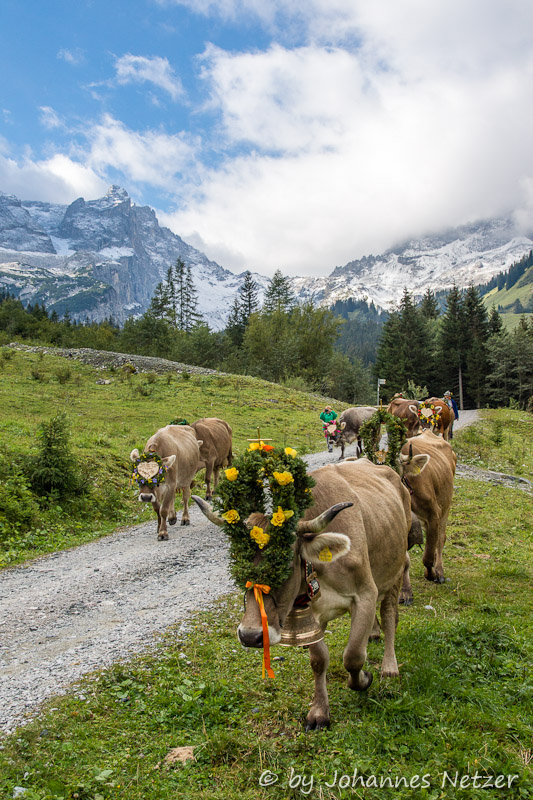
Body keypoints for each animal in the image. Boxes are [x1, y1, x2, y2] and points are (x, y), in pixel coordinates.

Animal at [193, 456, 422, 732]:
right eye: (238, 560)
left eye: (284, 564)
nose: (250, 636)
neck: (318, 570)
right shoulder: (311, 616)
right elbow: (319, 660)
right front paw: (319, 711)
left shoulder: (365, 594)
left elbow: (353, 656)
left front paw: (364, 679)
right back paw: (373, 633)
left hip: (394, 572)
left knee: (389, 616)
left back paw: (389, 667)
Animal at [396, 428, 456, 584]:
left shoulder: (434, 514)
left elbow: (428, 556)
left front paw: (432, 574)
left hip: (446, 505)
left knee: (441, 538)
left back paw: (439, 570)